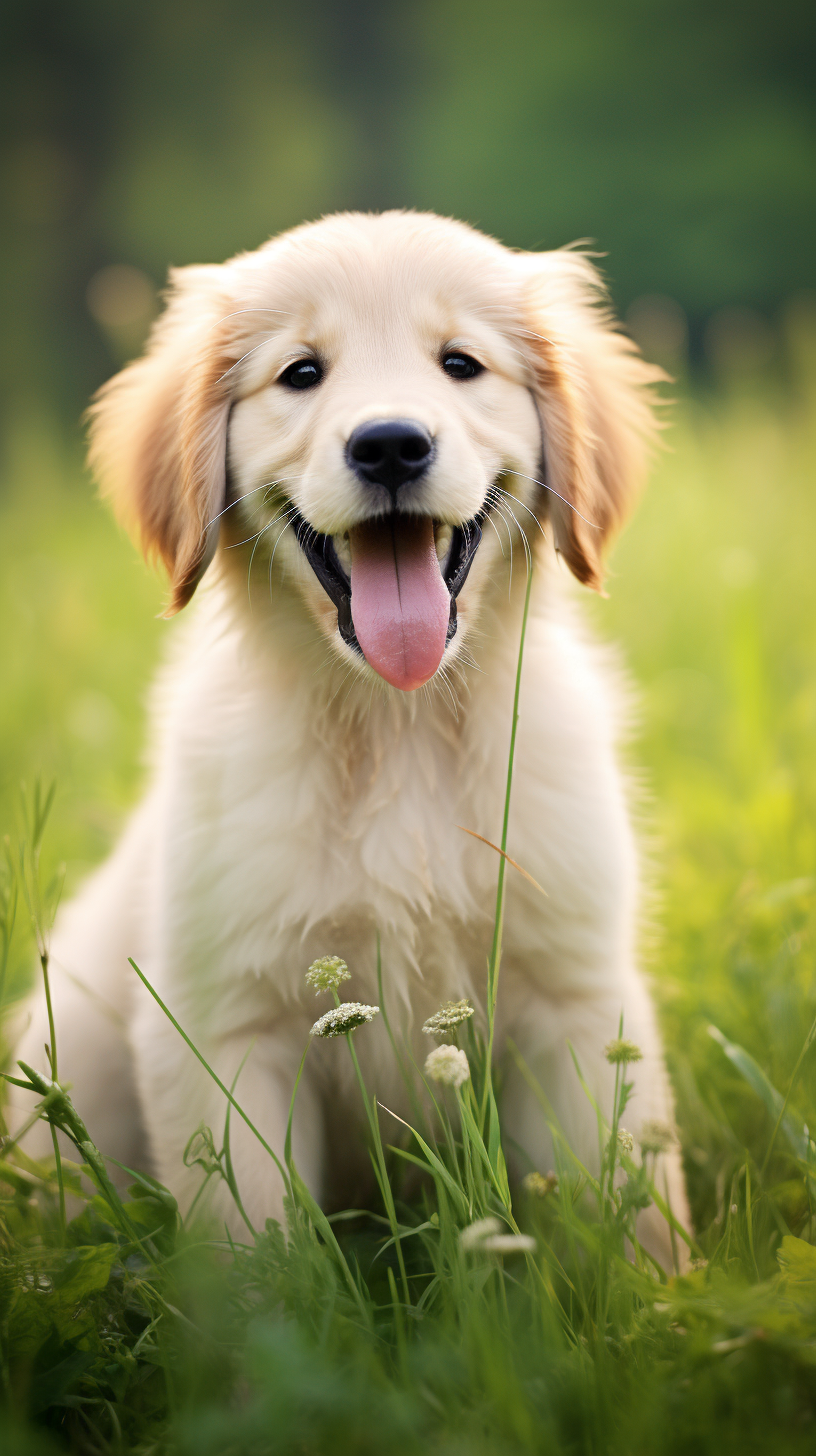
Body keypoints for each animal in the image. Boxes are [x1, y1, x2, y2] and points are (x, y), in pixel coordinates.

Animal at [14, 211, 687, 1257]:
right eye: (301, 373)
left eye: (461, 364)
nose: (391, 445)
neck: (396, 719)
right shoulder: (221, 1027)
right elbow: (255, 1249)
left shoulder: (577, 997)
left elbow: (633, 1210)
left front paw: (662, 1295)